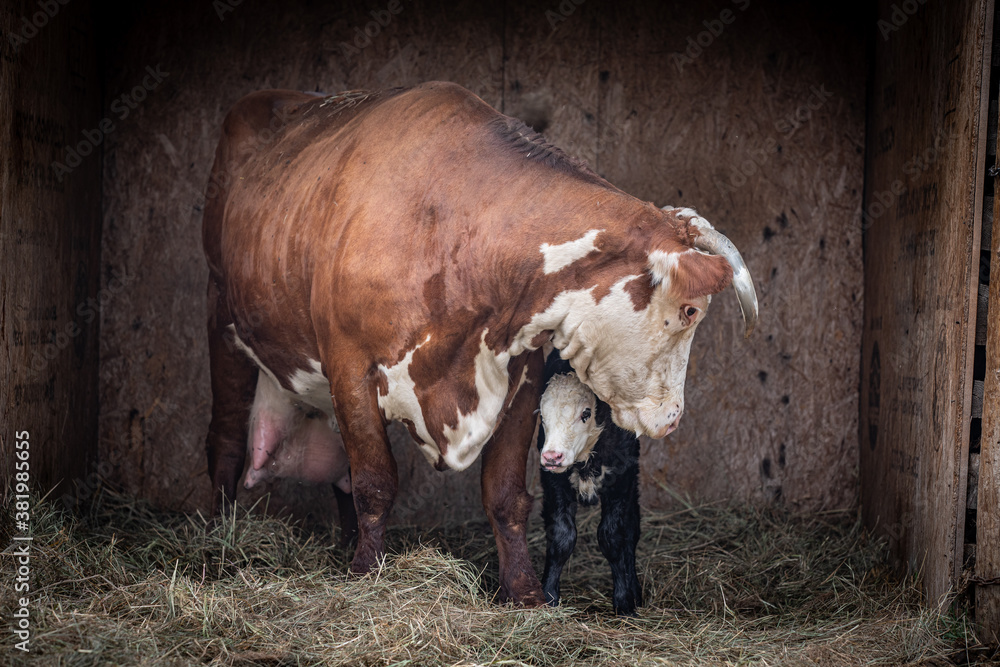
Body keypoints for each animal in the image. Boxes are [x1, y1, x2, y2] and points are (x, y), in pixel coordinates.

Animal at [536, 350, 644, 616]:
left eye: (585, 413)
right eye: (542, 416)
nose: (552, 456)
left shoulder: (620, 482)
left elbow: (612, 537)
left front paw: (624, 602)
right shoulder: (554, 483)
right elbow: (561, 536)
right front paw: (549, 596)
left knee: (632, 530)